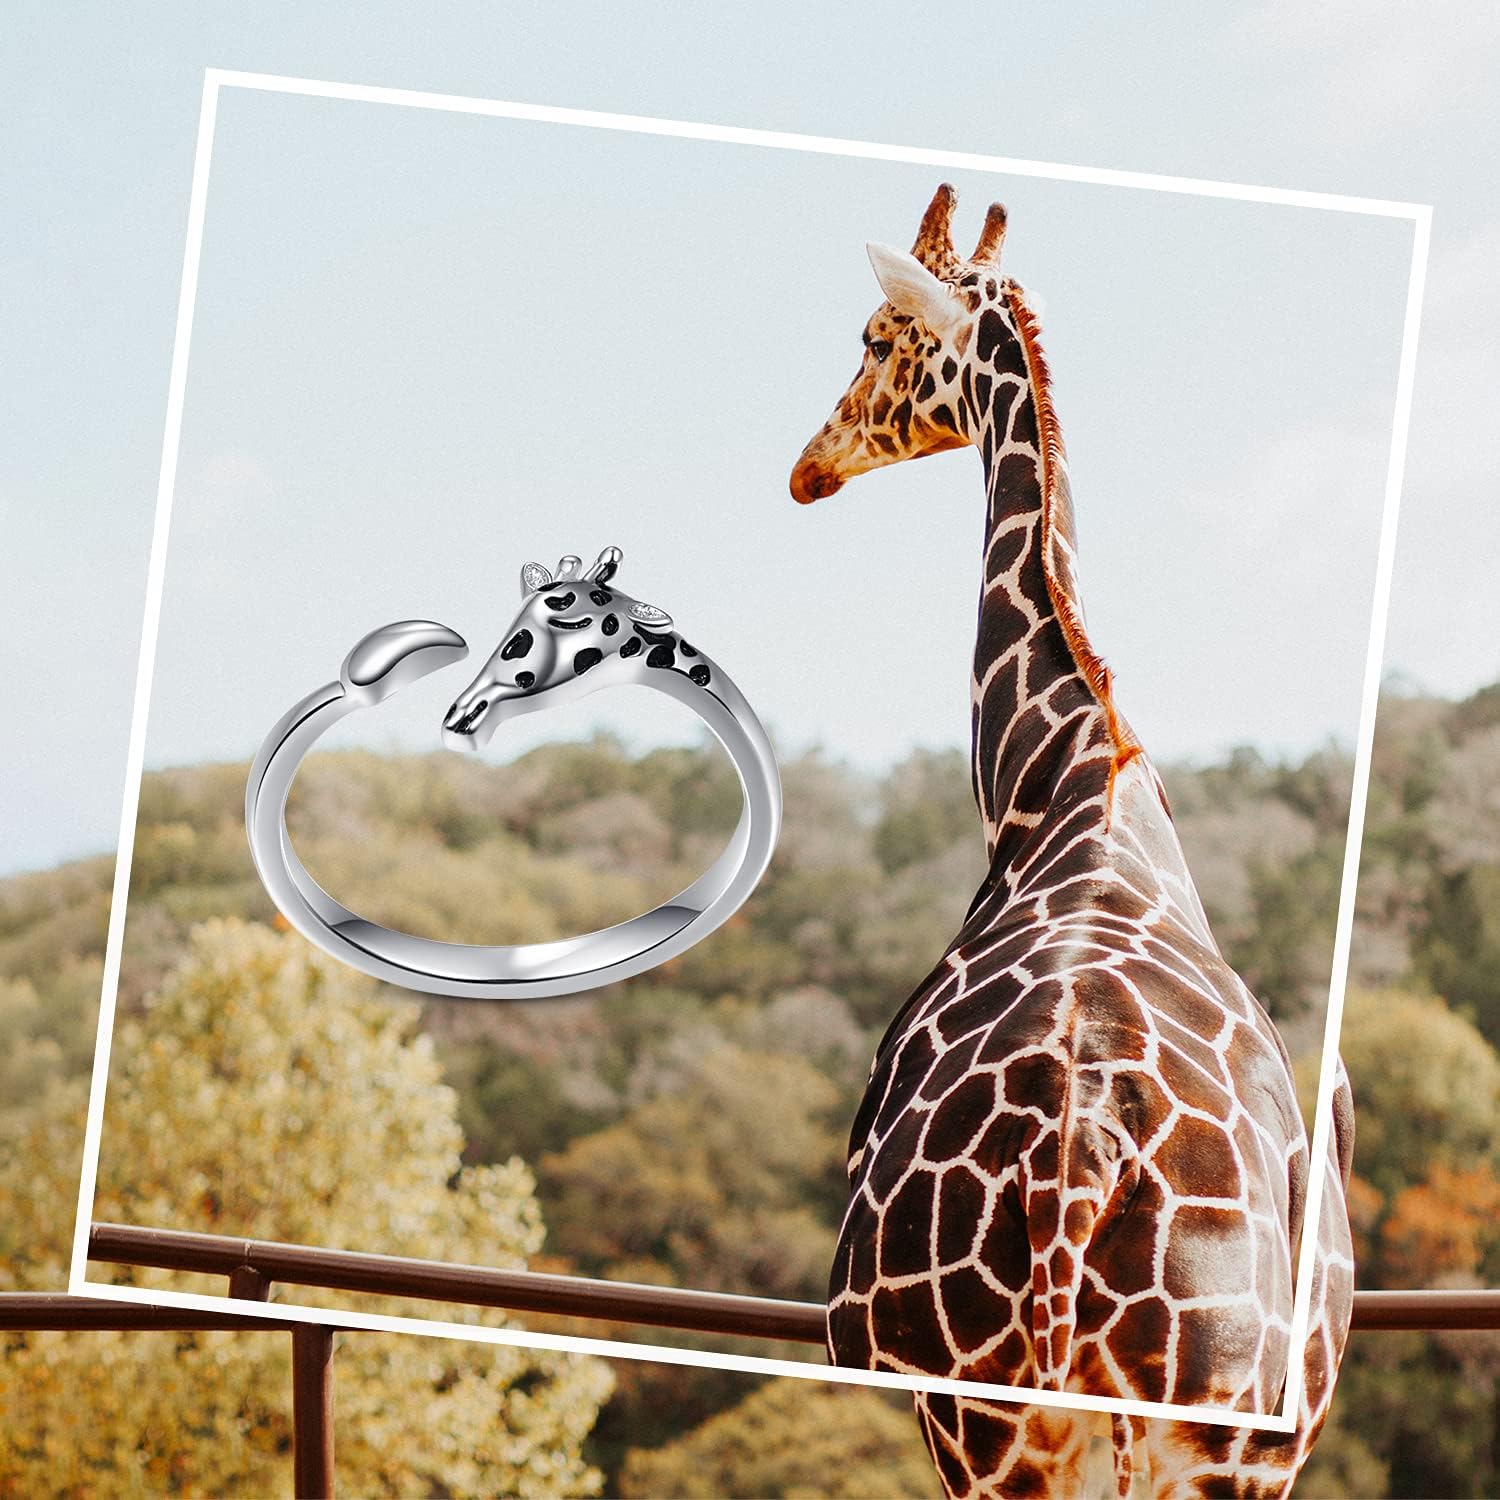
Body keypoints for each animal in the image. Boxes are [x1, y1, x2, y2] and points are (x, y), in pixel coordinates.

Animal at [790, 185, 1356, 1500]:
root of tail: (1081, 1155)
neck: (1063, 783)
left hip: (994, 1416)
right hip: (1210, 1435)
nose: (809, 468)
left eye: (874, 339)